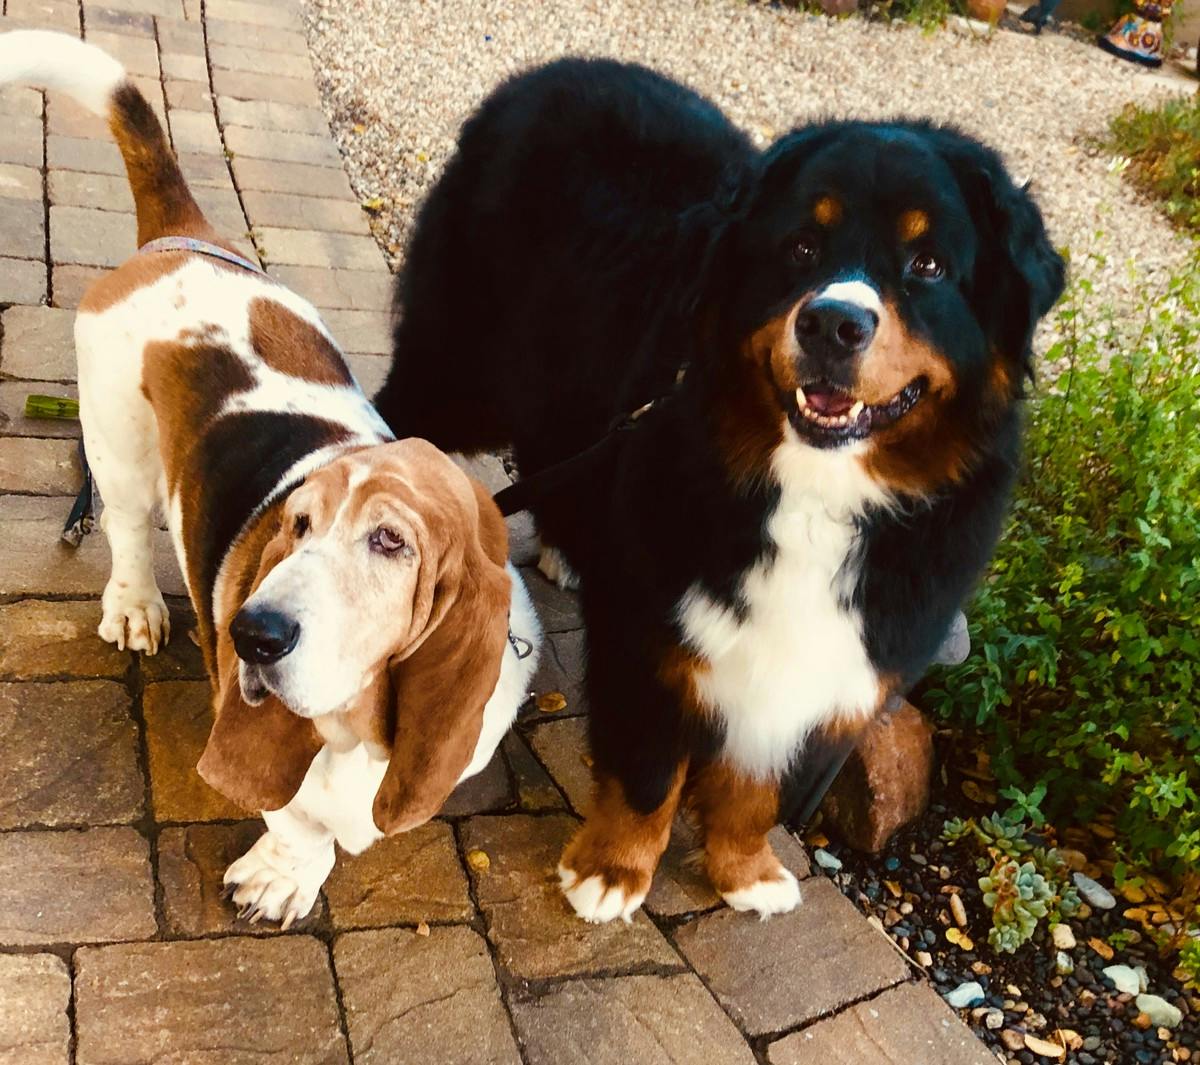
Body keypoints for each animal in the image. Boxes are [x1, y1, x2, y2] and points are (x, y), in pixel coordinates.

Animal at [0, 33, 540, 925]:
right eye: (297, 524)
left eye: (391, 541)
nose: (251, 634)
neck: (357, 725)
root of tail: (183, 237)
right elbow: (295, 817)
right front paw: (284, 873)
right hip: (117, 440)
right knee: (124, 526)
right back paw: (136, 607)